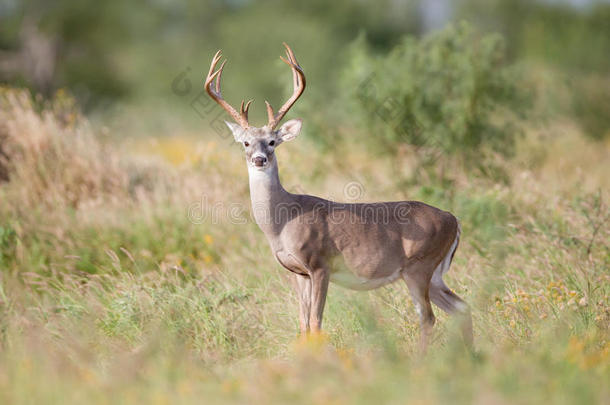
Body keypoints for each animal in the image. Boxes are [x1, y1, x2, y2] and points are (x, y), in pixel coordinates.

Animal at [203, 43, 470, 348]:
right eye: (246, 143)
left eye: (272, 141)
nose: (259, 159)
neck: (283, 221)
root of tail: (454, 220)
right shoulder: (296, 272)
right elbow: (303, 324)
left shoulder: (320, 263)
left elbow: (316, 323)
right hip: (433, 273)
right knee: (462, 307)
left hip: (419, 266)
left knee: (428, 317)